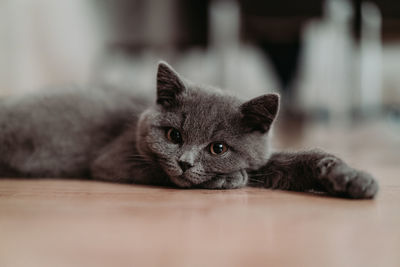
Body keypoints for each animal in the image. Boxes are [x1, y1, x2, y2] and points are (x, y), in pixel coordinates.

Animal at [0, 61, 378, 199]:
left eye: (218, 148)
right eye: (174, 136)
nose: (184, 162)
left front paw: (353, 179)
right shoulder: (113, 158)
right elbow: (156, 170)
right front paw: (231, 179)